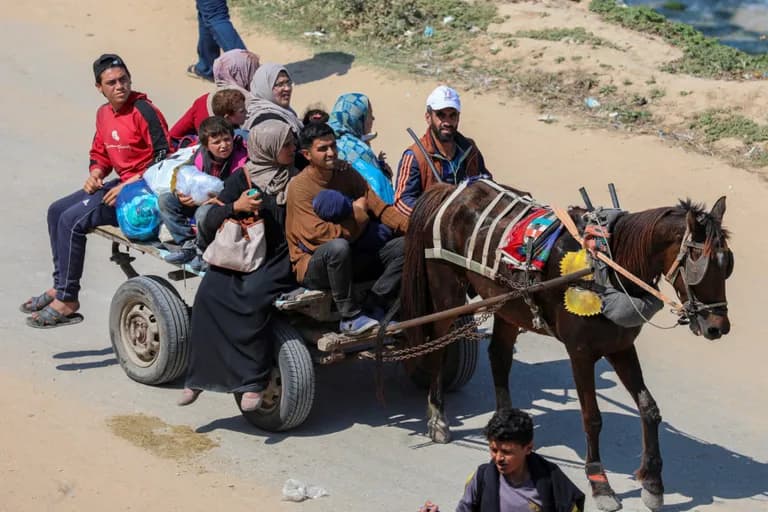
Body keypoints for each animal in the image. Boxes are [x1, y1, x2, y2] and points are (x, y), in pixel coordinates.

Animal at [400, 179, 736, 512]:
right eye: (700, 265)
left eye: (727, 265)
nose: (718, 327)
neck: (606, 268)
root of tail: (453, 188)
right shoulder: (581, 353)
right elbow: (592, 417)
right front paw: (600, 483)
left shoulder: (621, 346)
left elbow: (649, 409)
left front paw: (653, 483)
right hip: (447, 292)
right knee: (438, 350)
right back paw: (438, 419)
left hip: (509, 304)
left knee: (499, 356)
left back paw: (506, 426)